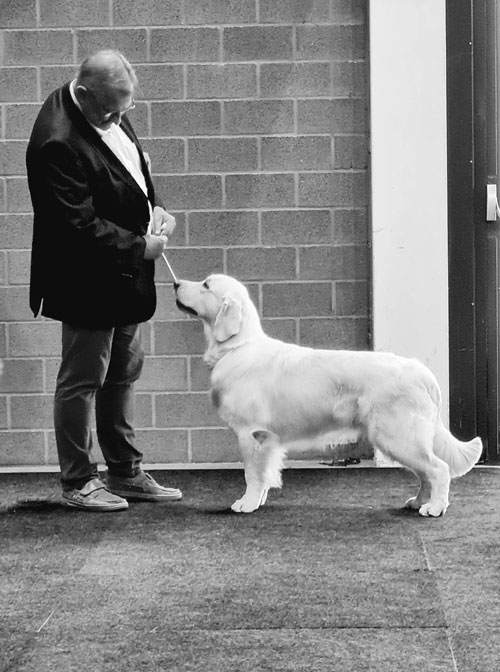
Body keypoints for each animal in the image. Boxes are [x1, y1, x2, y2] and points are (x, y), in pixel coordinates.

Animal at [175, 272, 480, 516]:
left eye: (206, 285)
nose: (175, 283)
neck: (237, 347)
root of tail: (422, 372)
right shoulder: (269, 439)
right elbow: (266, 474)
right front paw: (258, 501)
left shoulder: (250, 433)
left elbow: (252, 474)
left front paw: (246, 504)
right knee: (426, 473)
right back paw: (418, 502)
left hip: (398, 437)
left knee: (438, 469)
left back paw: (434, 507)